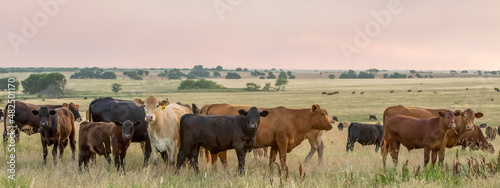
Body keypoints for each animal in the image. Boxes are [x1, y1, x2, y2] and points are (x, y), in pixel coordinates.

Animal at [199, 103, 332, 174]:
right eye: (322, 114)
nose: (331, 124)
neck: (291, 118)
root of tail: (215, 105)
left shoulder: (274, 145)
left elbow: (272, 160)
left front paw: (271, 172)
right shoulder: (282, 143)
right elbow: (283, 160)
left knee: (220, 157)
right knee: (218, 156)